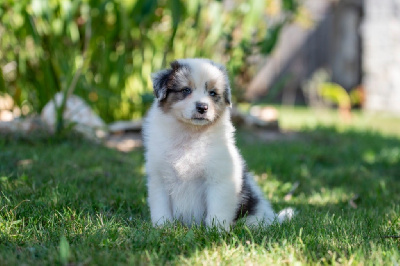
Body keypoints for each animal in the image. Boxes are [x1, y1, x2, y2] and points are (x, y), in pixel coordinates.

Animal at [142, 58, 292, 231]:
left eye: (212, 93)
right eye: (186, 90)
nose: (202, 107)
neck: (190, 134)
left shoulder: (220, 178)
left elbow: (217, 210)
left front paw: (216, 231)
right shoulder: (159, 178)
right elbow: (161, 207)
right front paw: (163, 227)